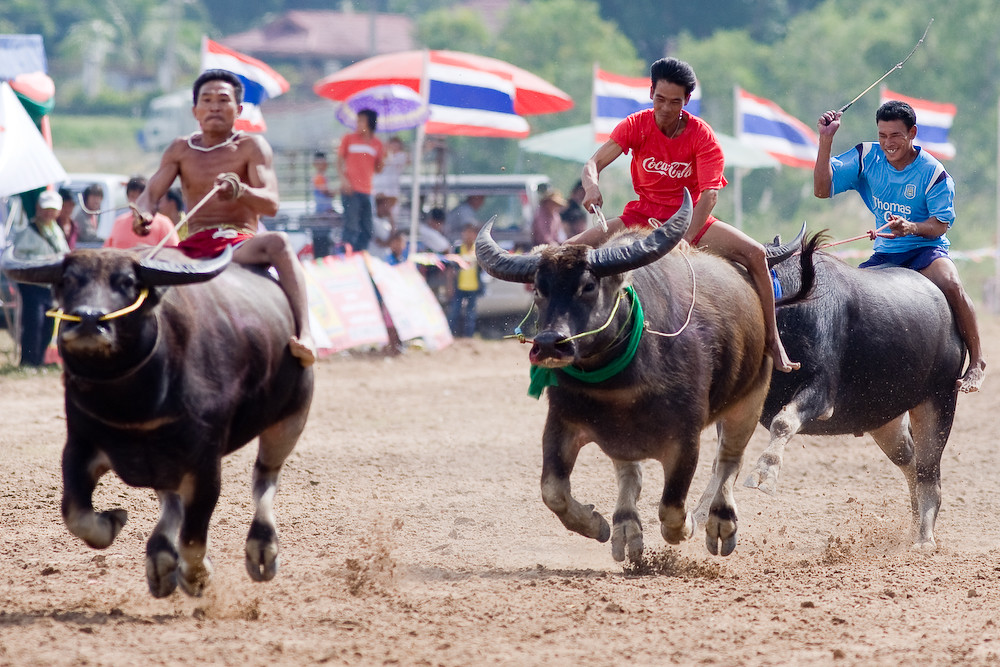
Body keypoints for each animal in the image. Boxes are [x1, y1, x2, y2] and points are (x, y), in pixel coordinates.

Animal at [2, 245, 313, 596]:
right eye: (68, 280)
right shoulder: (80, 444)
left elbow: (192, 537)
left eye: (127, 282)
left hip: (290, 418)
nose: (88, 320)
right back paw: (161, 559)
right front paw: (114, 520)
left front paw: (196, 576)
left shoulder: (205, 462)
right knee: (172, 500)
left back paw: (261, 549)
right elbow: (75, 513)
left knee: (264, 478)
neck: (135, 405)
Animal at [476, 192, 818, 560]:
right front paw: (595, 524)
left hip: (750, 398)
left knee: (729, 461)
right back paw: (626, 529)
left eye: (588, 285)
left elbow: (672, 505)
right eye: (539, 289)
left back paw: (720, 523)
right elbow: (553, 490)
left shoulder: (686, 437)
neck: (617, 383)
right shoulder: (561, 422)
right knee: (630, 474)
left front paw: (686, 527)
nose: (551, 343)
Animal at [744, 244, 964, 547]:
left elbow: (782, 422)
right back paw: (912, 527)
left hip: (939, 399)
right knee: (911, 461)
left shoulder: (822, 394)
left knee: (928, 472)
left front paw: (764, 474)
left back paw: (924, 539)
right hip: (885, 420)